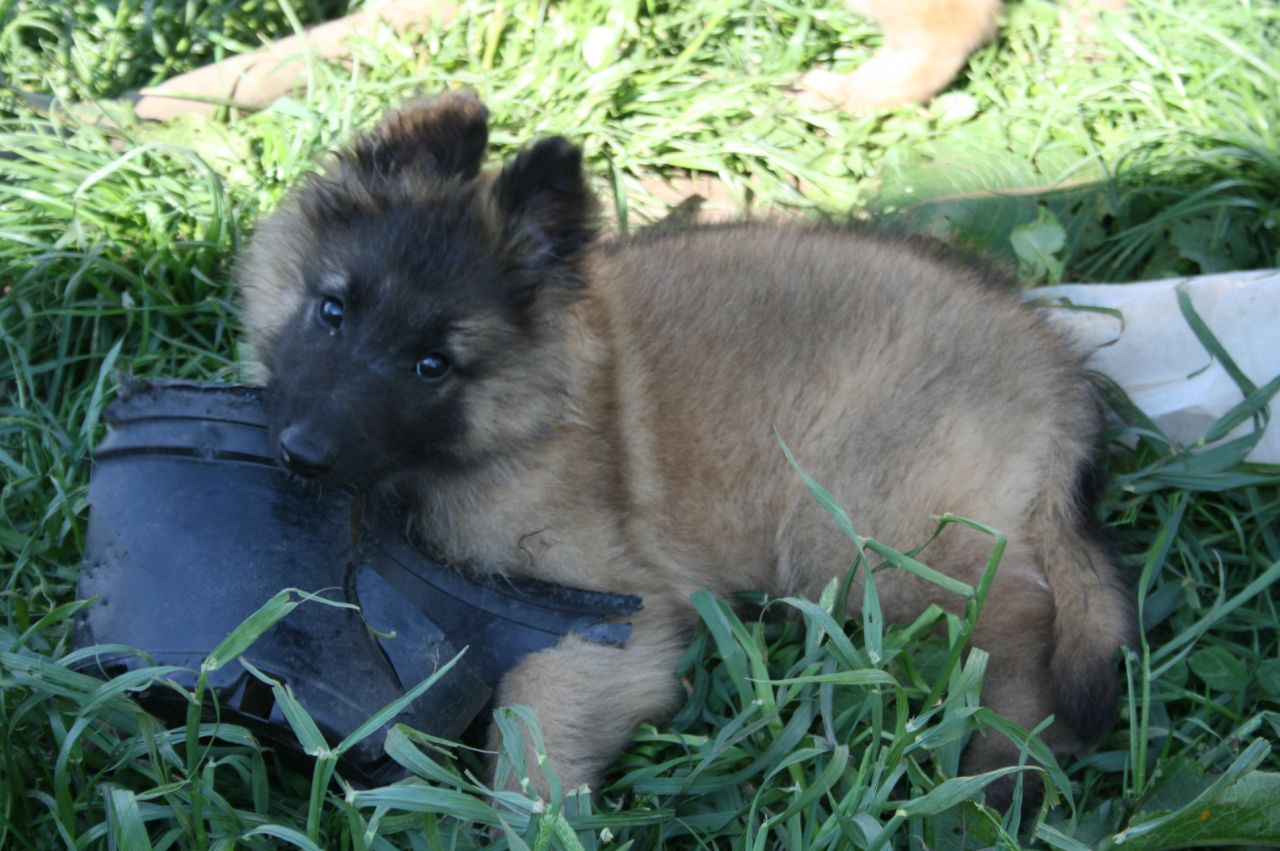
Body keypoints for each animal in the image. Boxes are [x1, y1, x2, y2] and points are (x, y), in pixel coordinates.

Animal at [235, 92, 1136, 803]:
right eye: (332, 310)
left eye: (433, 365)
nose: (300, 453)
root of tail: (1058, 371)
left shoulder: (610, 617)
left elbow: (534, 743)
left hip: (864, 531)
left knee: (1018, 621)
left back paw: (1001, 766)